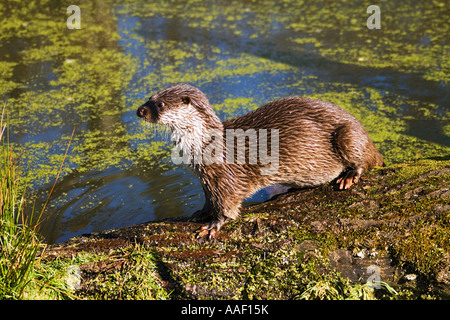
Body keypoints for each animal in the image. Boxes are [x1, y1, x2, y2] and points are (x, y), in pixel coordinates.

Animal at [137, 84, 384, 239]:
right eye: (149, 97)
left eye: (159, 105)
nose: (139, 110)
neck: (205, 145)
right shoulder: (206, 178)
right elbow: (209, 199)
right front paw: (200, 213)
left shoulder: (226, 177)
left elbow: (226, 205)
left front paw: (213, 226)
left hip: (348, 135)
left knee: (366, 160)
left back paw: (348, 177)